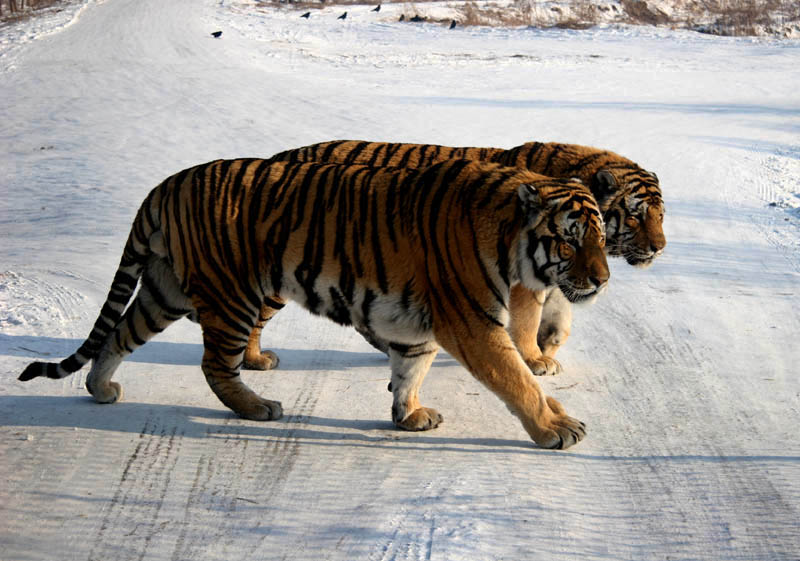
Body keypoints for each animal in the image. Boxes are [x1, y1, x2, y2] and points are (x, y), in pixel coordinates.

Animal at [17, 158, 608, 450]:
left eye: (602, 239)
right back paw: (258, 407)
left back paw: (101, 389)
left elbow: (410, 370)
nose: (602, 281)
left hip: (166, 289)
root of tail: (166, 184)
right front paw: (555, 428)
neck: (508, 239)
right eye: (570, 240)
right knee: (214, 365)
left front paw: (409, 415)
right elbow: (518, 379)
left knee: (119, 335)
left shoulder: (420, 326)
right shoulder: (472, 321)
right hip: (231, 295)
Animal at [266, 140, 664, 376]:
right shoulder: (527, 281)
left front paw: (549, 344)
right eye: (635, 216)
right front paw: (536, 358)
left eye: (660, 215)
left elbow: (559, 314)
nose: (660, 247)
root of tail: (276, 157)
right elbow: (529, 320)